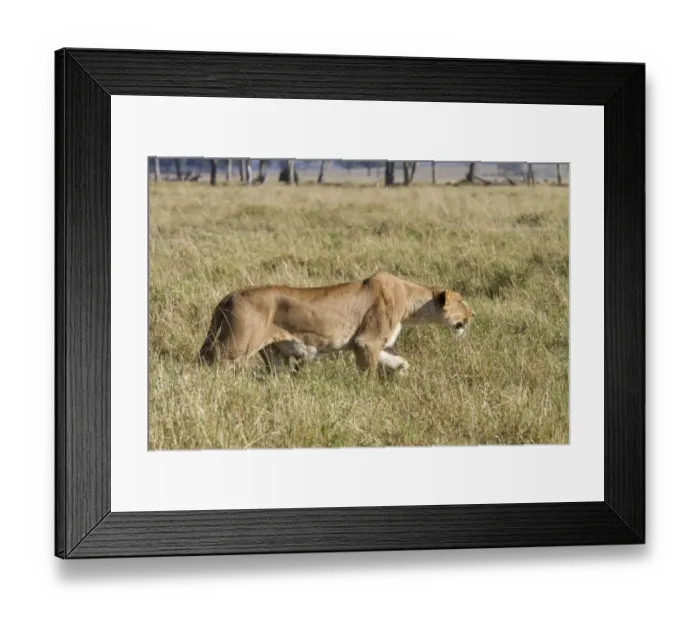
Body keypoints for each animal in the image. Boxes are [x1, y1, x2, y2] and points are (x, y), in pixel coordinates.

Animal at [197, 270, 475, 376]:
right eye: (462, 300)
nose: (473, 314)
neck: (410, 302)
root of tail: (228, 296)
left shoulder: (375, 345)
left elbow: (397, 361)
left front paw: (403, 373)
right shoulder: (366, 342)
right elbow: (368, 373)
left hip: (272, 354)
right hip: (234, 346)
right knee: (210, 364)